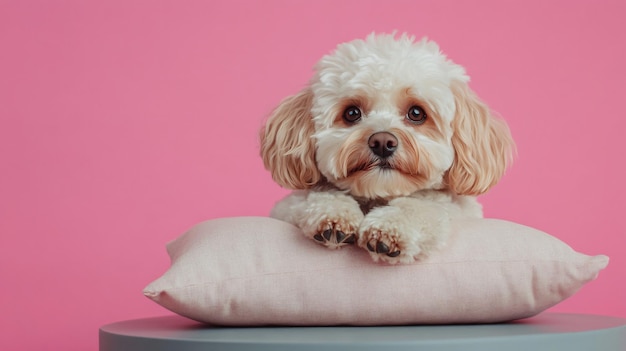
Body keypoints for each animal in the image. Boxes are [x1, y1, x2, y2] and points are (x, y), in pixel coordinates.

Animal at [258, 33, 512, 264]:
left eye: (416, 113)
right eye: (352, 113)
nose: (382, 142)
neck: (379, 195)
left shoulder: (452, 208)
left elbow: (421, 207)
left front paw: (390, 229)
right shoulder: (286, 207)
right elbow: (316, 195)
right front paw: (333, 215)